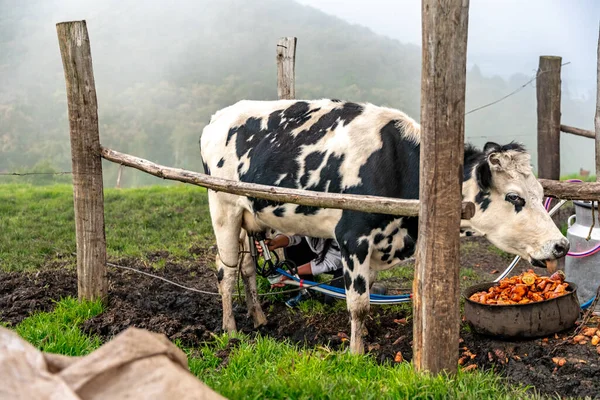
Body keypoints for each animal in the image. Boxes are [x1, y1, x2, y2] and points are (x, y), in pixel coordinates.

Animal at [199, 99, 568, 354]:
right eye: (514, 197)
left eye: (540, 193)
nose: (561, 245)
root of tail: (218, 117)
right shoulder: (352, 238)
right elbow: (358, 303)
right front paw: (356, 352)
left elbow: (367, 294)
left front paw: (365, 336)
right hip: (223, 207)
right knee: (226, 271)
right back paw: (231, 331)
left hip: (248, 215)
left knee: (247, 267)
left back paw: (259, 318)